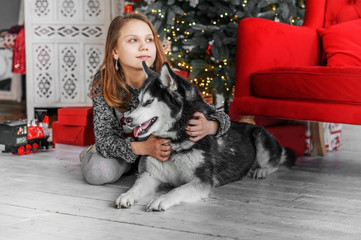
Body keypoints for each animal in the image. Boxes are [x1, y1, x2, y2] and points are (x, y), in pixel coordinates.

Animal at [115, 62, 296, 212]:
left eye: (149, 101)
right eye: (138, 102)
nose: (128, 119)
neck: (176, 140)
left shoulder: (202, 180)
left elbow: (177, 189)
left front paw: (161, 199)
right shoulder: (152, 175)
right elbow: (137, 185)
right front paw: (127, 195)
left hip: (259, 136)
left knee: (276, 161)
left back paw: (262, 170)